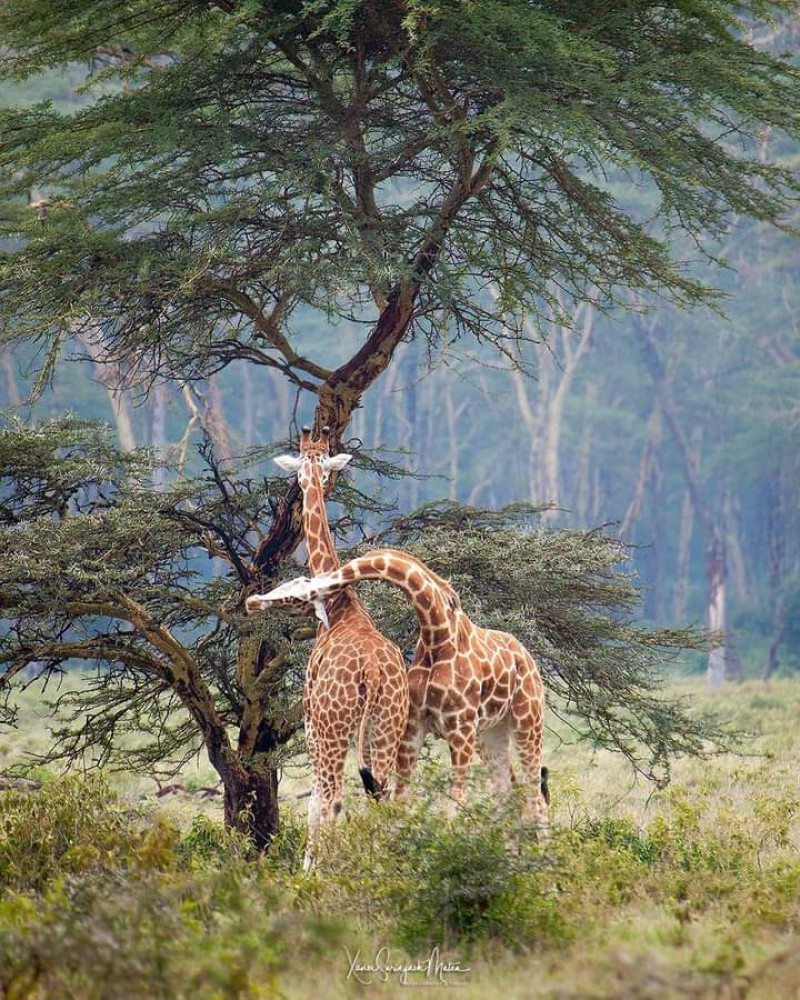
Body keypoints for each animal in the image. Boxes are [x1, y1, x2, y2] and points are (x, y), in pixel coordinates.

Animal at [247, 430, 410, 868]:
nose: (305, 486)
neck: (341, 607)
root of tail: (372, 672)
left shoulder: (309, 718)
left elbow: (315, 802)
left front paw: (309, 868)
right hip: (388, 725)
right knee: (384, 795)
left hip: (335, 726)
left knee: (333, 796)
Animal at [255, 552, 552, 824]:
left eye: (295, 589)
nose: (253, 601)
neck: (437, 634)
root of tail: (526, 656)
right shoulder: (413, 729)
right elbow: (401, 802)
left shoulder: (461, 731)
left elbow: (454, 807)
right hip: (490, 732)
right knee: (508, 795)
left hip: (526, 722)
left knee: (535, 798)